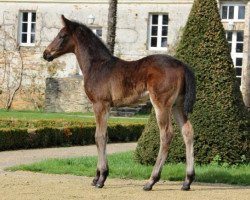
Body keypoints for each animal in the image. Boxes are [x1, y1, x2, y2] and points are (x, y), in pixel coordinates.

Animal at [43, 15, 196, 191]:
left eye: (62, 35)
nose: (46, 53)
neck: (97, 65)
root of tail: (181, 65)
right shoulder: (107, 106)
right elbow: (104, 135)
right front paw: (97, 177)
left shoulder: (100, 104)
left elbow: (99, 136)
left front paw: (101, 178)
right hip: (177, 105)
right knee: (187, 131)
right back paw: (187, 181)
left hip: (162, 104)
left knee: (166, 134)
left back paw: (151, 181)